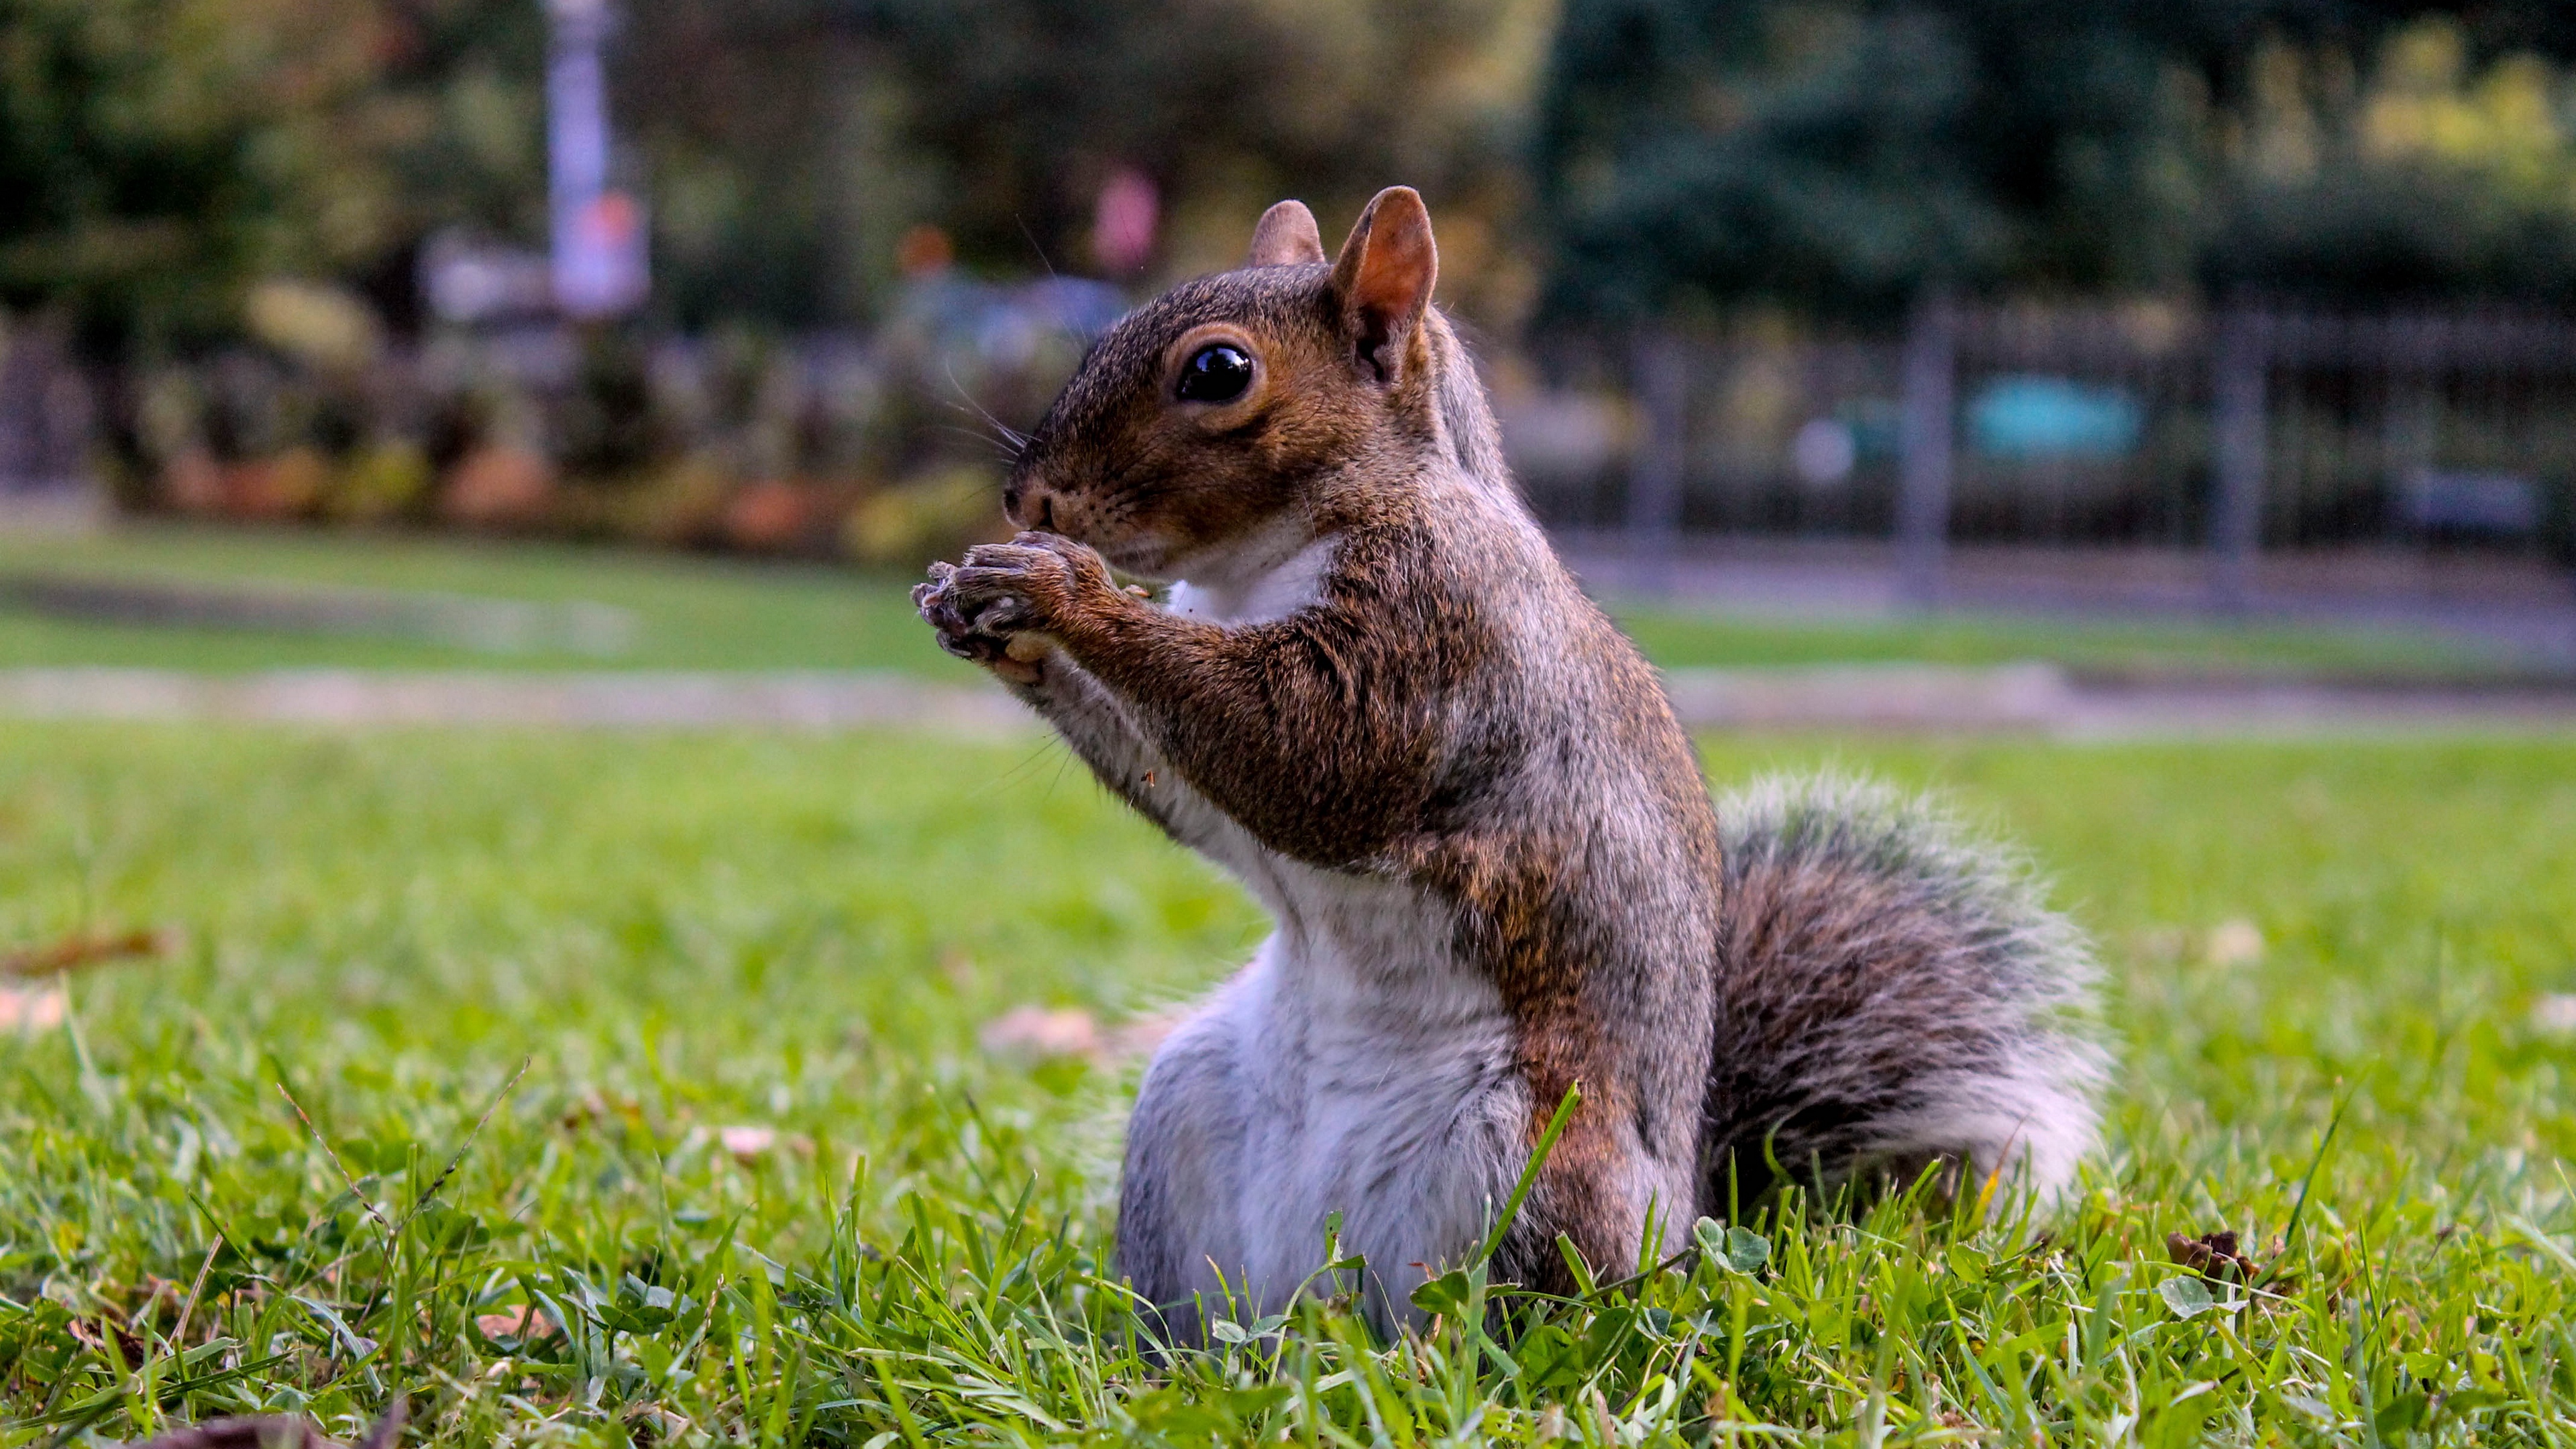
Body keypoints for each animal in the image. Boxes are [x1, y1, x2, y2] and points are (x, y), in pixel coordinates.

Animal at [914, 187, 2106, 1336]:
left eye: (1218, 371)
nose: (1029, 501)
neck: (1263, 566)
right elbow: (1194, 790)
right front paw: (986, 618)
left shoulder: (1438, 626)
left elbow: (1306, 756)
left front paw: (1063, 593)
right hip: (1185, 1110)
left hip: (1525, 1161)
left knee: (1521, 1324)